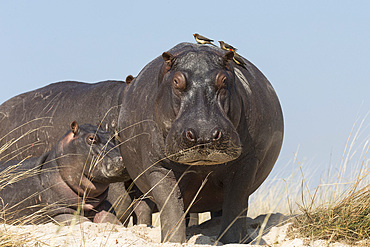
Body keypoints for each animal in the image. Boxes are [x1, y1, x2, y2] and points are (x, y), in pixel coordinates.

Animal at [0, 120, 132, 225]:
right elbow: (82, 222)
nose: (123, 159)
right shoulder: (58, 212)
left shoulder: (104, 206)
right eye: (91, 138)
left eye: (113, 136)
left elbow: (111, 220)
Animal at [118, 43, 284, 243]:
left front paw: (231, 241)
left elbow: (236, 204)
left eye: (224, 80)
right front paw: (174, 241)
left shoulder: (247, 163)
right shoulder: (158, 167)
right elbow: (170, 207)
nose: (203, 134)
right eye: (176, 82)